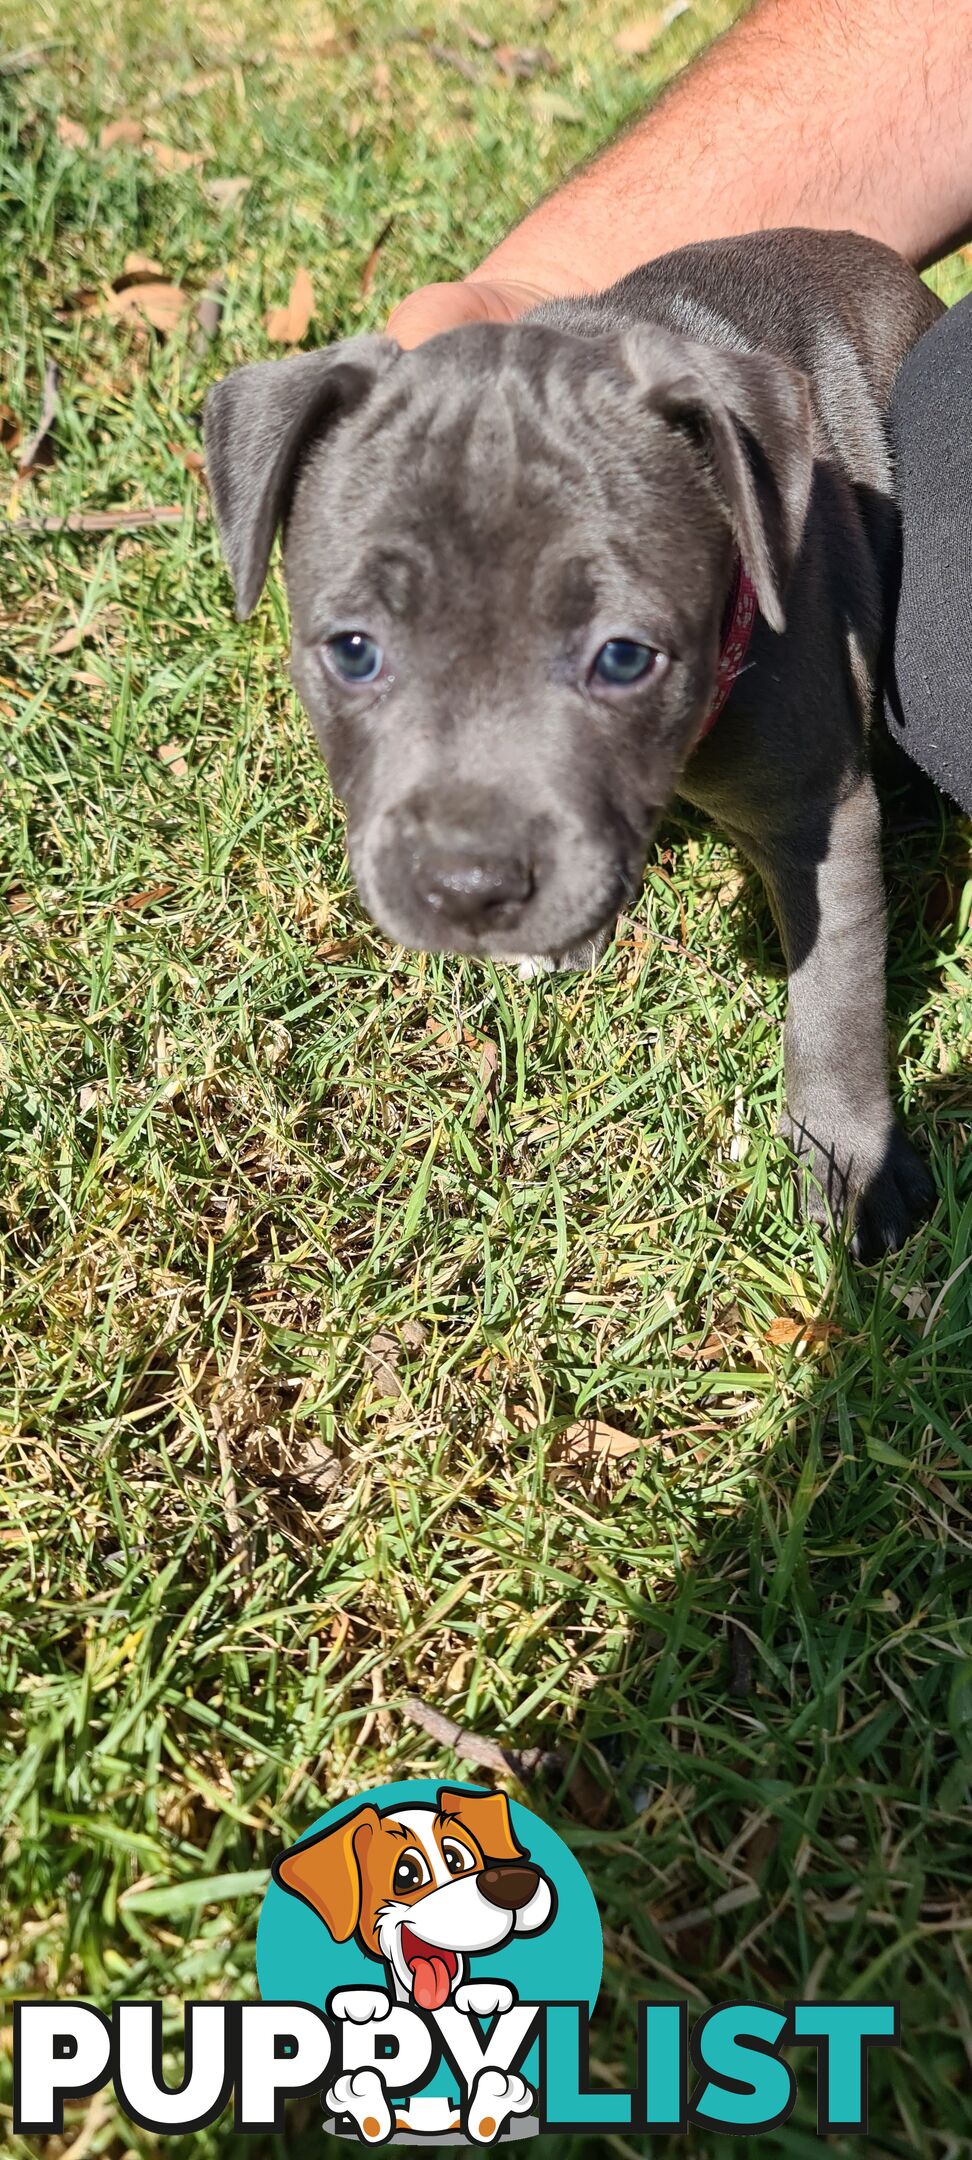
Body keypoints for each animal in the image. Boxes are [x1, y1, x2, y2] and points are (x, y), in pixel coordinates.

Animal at [203, 227, 941, 1261]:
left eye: (624, 657)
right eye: (354, 650)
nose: (469, 887)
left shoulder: (818, 813)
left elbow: (833, 992)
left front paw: (849, 1161)